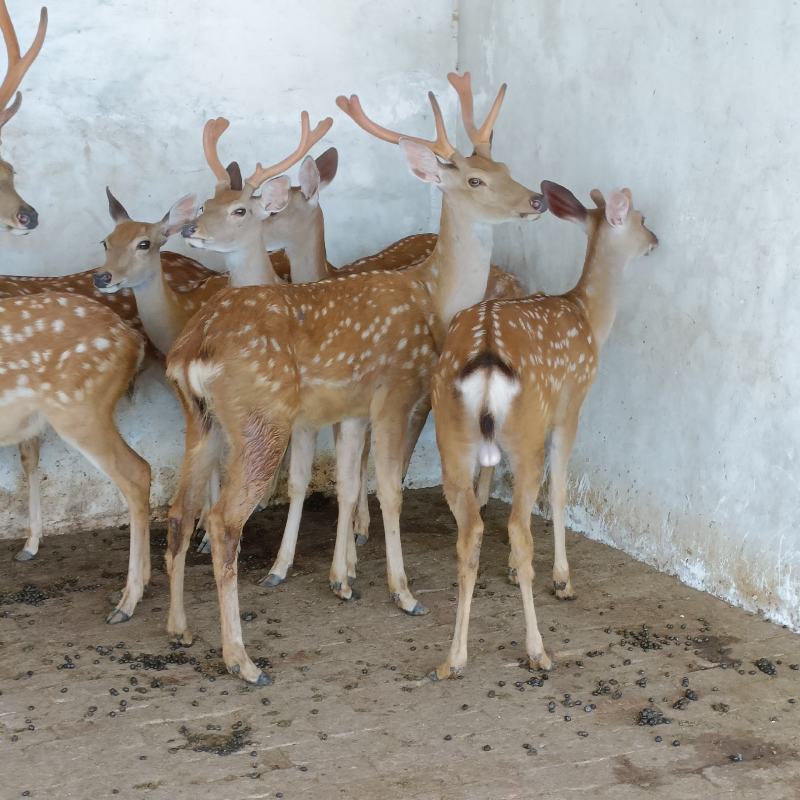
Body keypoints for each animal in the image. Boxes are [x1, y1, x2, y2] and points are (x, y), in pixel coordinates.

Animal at [163, 72, 547, 685]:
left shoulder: (350, 407)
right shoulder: (394, 390)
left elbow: (348, 482)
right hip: (259, 417)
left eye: (507, 166)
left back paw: (178, 629)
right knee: (223, 520)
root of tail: (191, 349)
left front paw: (344, 578)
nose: (536, 199)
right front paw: (403, 592)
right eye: (476, 179)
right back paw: (243, 660)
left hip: (199, 420)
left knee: (179, 510)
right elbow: (387, 487)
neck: (432, 301)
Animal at [429, 180, 658, 680]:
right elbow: (559, 492)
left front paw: (513, 571)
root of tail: (487, 360)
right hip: (527, 432)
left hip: (451, 437)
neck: (588, 317)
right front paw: (562, 578)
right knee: (518, 524)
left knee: (469, 531)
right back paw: (537, 649)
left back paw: (453, 658)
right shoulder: (571, 405)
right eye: (642, 218)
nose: (656, 240)